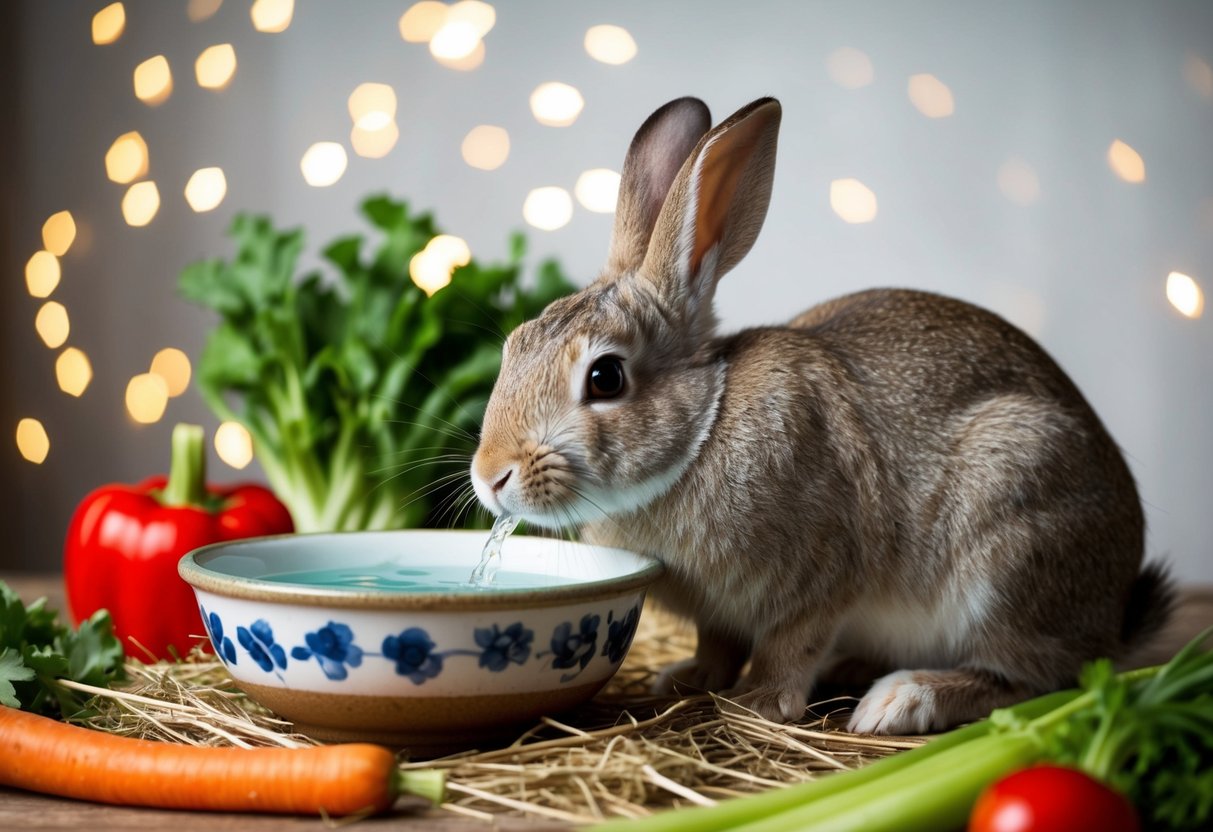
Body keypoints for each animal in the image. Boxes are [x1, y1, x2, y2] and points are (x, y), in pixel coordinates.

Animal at [470, 96, 1174, 734]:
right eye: (515, 344)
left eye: (606, 378)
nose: (489, 476)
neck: (704, 430)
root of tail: (1113, 612)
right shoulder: (720, 614)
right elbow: (717, 642)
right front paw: (689, 678)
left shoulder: (822, 576)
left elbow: (790, 644)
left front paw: (759, 703)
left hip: (1011, 536)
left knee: (1031, 678)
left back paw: (902, 701)